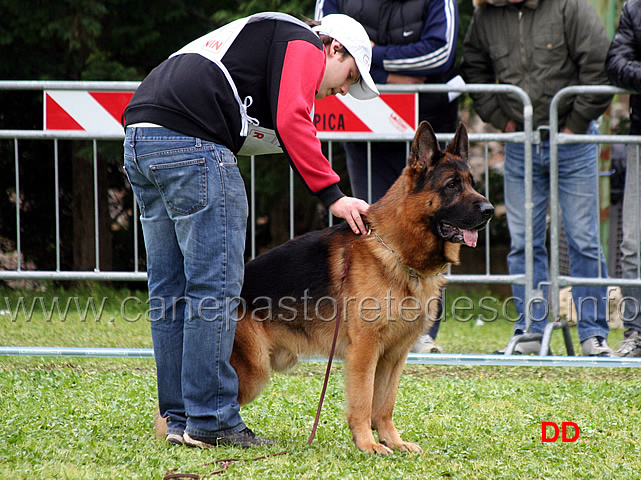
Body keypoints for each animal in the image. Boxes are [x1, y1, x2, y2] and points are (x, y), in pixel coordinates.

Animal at [156, 121, 496, 454]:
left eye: (472, 183)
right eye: (451, 185)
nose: (490, 210)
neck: (397, 250)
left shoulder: (395, 356)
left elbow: (384, 405)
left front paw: (392, 441)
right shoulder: (364, 352)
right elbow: (363, 402)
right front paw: (367, 444)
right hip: (252, 370)